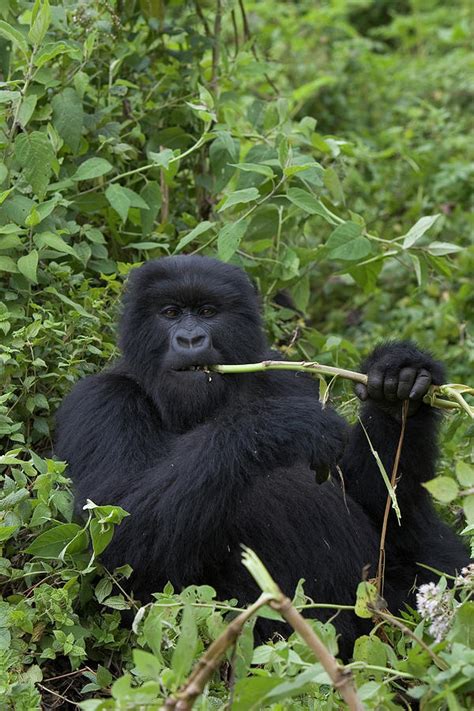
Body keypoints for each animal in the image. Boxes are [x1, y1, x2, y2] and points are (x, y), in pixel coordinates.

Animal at [54, 254, 466, 656]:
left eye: (207, 312)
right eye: (169, 313)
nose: (190, 338)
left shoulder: (289, 379)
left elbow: (380, 505)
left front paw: (399, 383)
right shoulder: (99, 403)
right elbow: (116, 541)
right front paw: (278, 426)